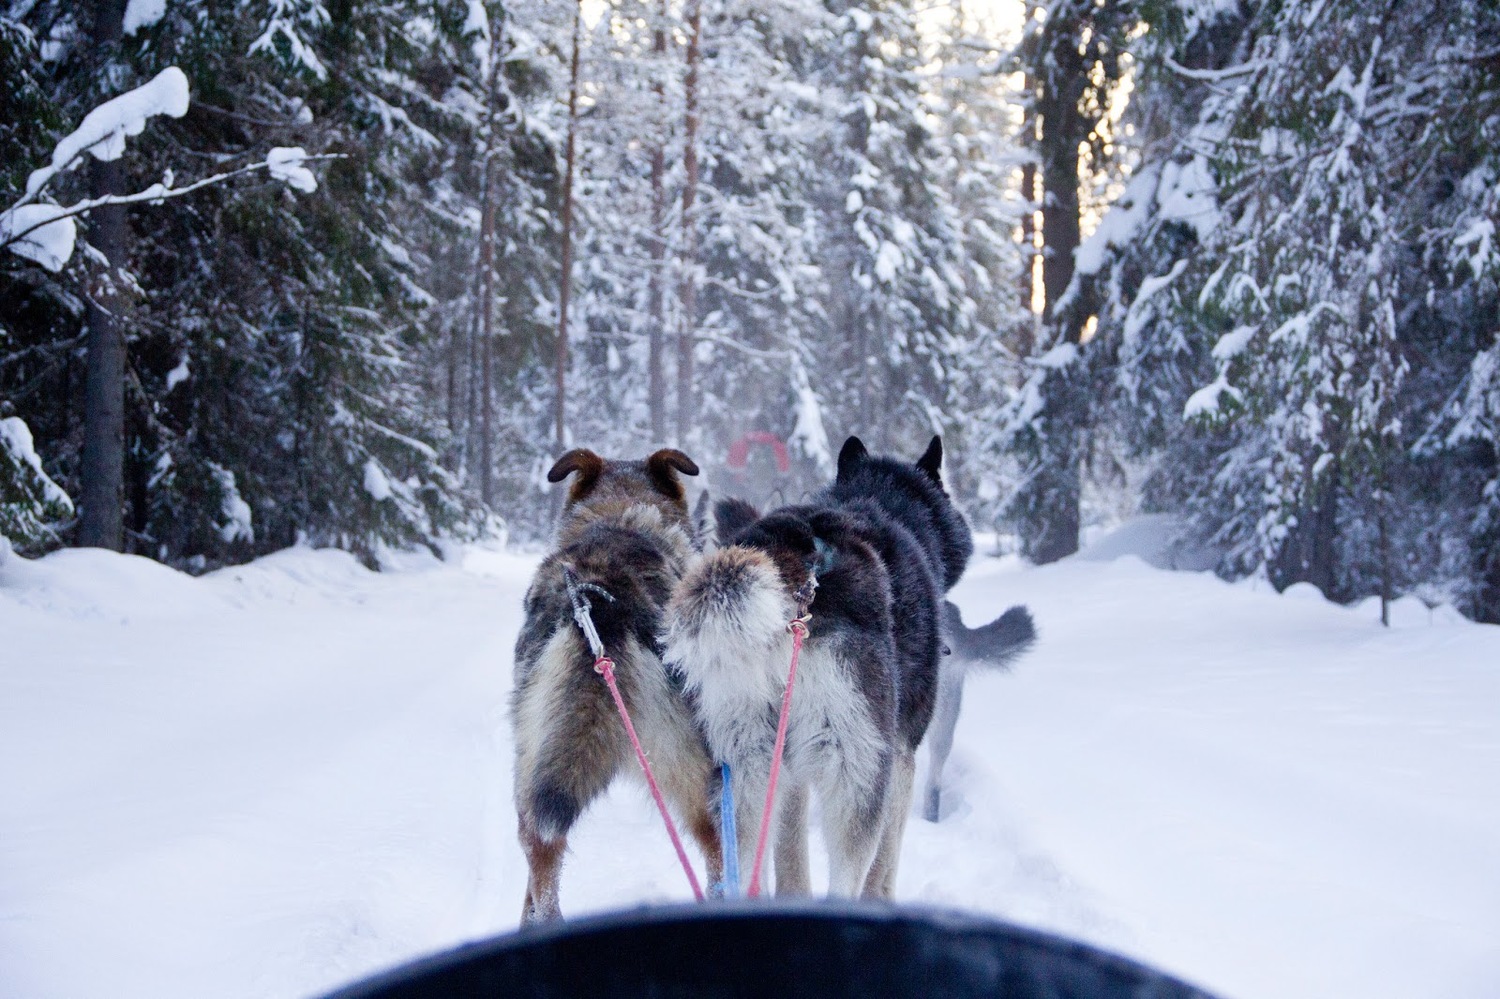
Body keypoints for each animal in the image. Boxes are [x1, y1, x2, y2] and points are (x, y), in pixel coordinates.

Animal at [510, 447, 720, 924]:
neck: (622, 510)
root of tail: (600, 603)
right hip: (691, 768)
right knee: (719, 850)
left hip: (533, 766)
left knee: (539, 859)